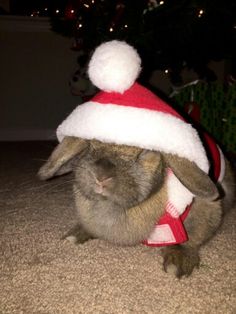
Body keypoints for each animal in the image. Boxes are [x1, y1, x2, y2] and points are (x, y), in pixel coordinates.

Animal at [37, 136, 235, 278]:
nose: (101, 176)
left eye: (147, 151)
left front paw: (178, 261)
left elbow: (191, 238)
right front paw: (73, 236)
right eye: (91, 143)